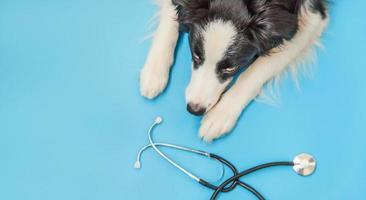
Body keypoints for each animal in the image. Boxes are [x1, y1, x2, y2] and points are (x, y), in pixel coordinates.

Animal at [139, 0, 328, 141]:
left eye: (231, 67)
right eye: (197, 55)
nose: (194, 109)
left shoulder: (311, 19)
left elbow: (255, 71)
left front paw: (219, 116)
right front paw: (153, 72)